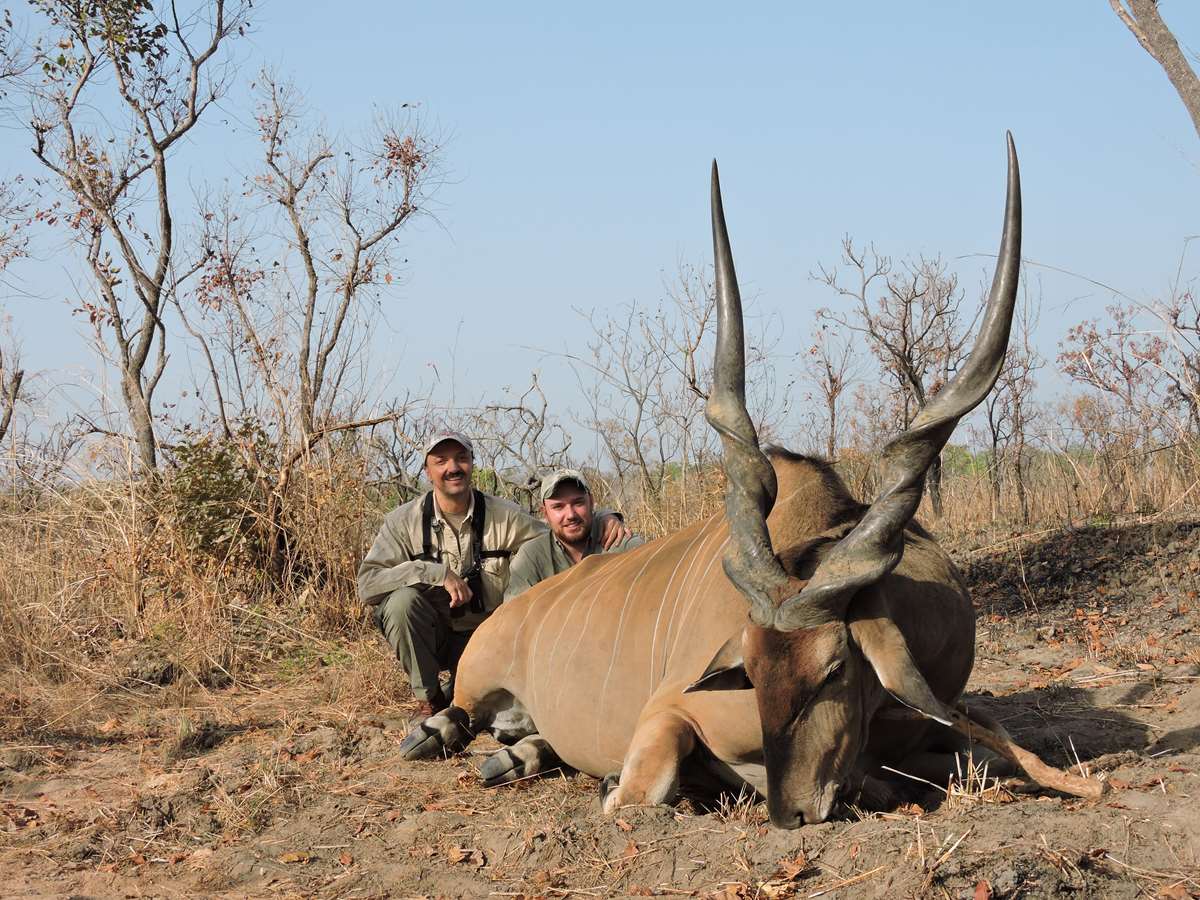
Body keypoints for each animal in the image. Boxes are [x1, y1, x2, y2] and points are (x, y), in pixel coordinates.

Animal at [403, 137, 1104, 830]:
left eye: (835, 667)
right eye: (753, 665)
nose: (789, 811)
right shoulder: (669, 713)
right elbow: (640, 791)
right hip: (478, 678)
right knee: (463, 714)